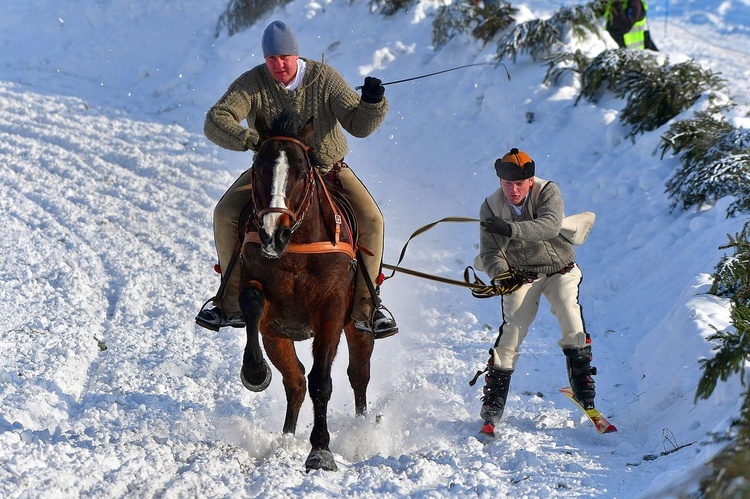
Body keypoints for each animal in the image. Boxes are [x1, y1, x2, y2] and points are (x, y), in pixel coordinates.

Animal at [236, 108, 374, 472]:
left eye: (300, 172)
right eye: (258, 167)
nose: (273, 233)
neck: (297, 247)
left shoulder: (332, 309)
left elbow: (322, 381)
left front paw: (321, 450)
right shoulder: (268, 312)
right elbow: (251, 300)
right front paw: (254, 371)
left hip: (360, 323)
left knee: (358, 374)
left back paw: (361, 430)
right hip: (277, 338)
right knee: (295, 381)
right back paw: (286, 437)